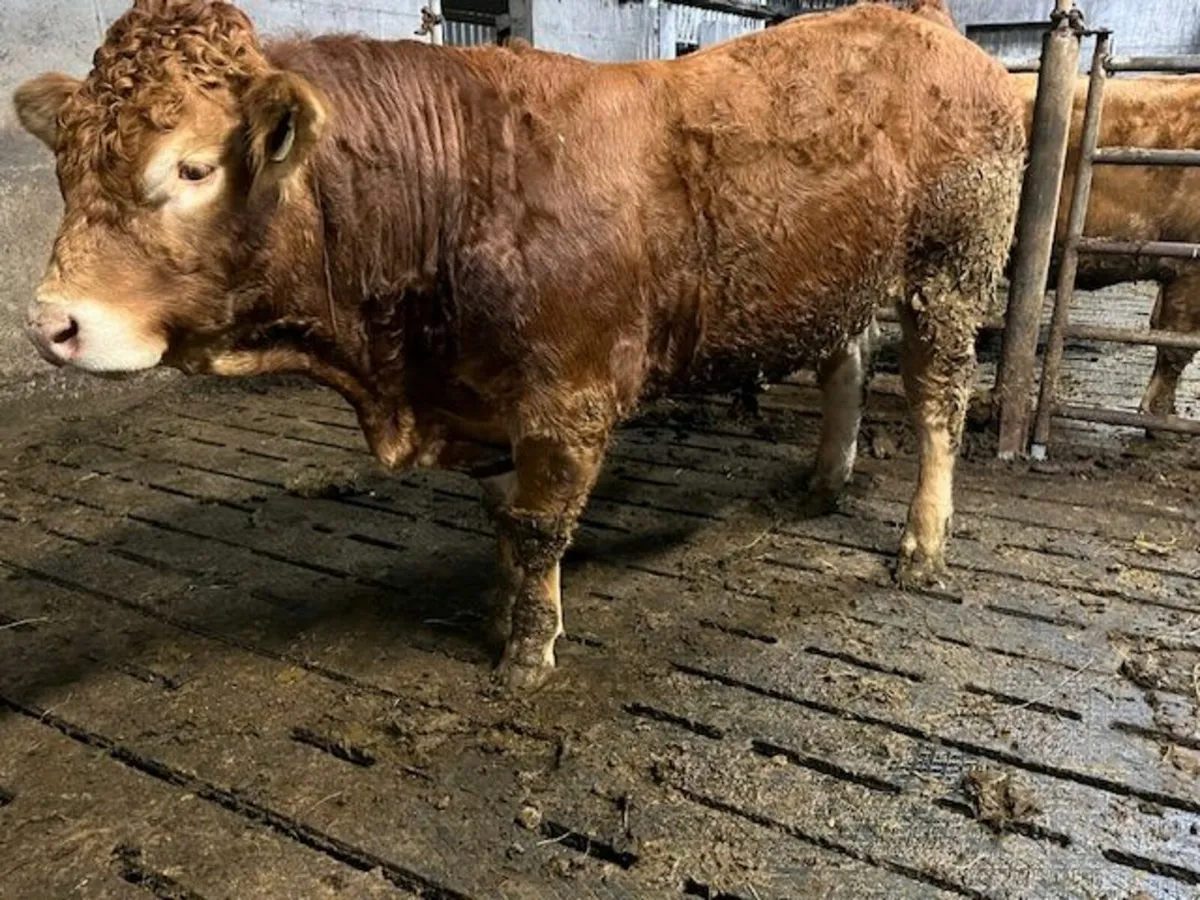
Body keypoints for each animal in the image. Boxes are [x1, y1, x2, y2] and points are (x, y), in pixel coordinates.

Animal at [14, 0, 1023, 690]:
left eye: (191, 167)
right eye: (65, 167)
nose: (51, 322)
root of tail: (918, 19)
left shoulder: (567, 402)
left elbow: (539, 530)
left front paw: (528, 654)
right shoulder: (486, 402)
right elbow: (502, 523)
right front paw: (500, 613)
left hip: (953, 270)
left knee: (938, 399)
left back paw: (923, 544)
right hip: (842, 276)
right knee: (846, 359)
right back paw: (824, 480)